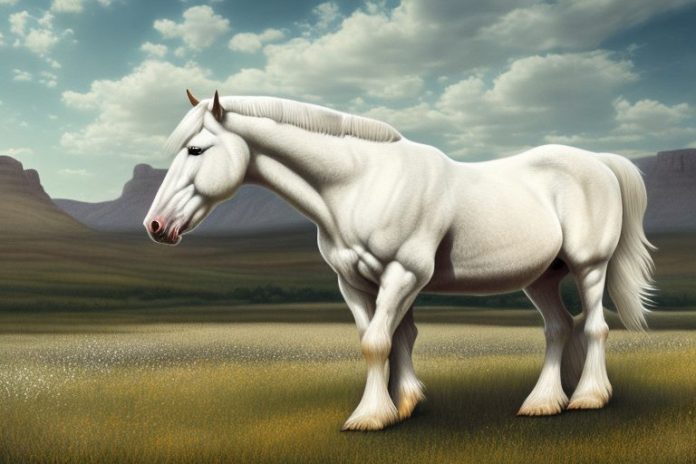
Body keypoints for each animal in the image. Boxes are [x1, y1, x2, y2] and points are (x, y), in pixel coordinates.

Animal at [145, 90, 655, 431]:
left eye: (196, 149)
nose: (154, 226)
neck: (360, 183)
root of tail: (600, 162)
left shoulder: (404, 273)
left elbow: (378, 342)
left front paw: (370, 416)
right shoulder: (356, 283)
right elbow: (395, 338)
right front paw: (404, 404)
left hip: (589, 267)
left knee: (594, 327)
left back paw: (588, 397)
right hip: (542, 277)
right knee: (558, 328)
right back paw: (543, 402)